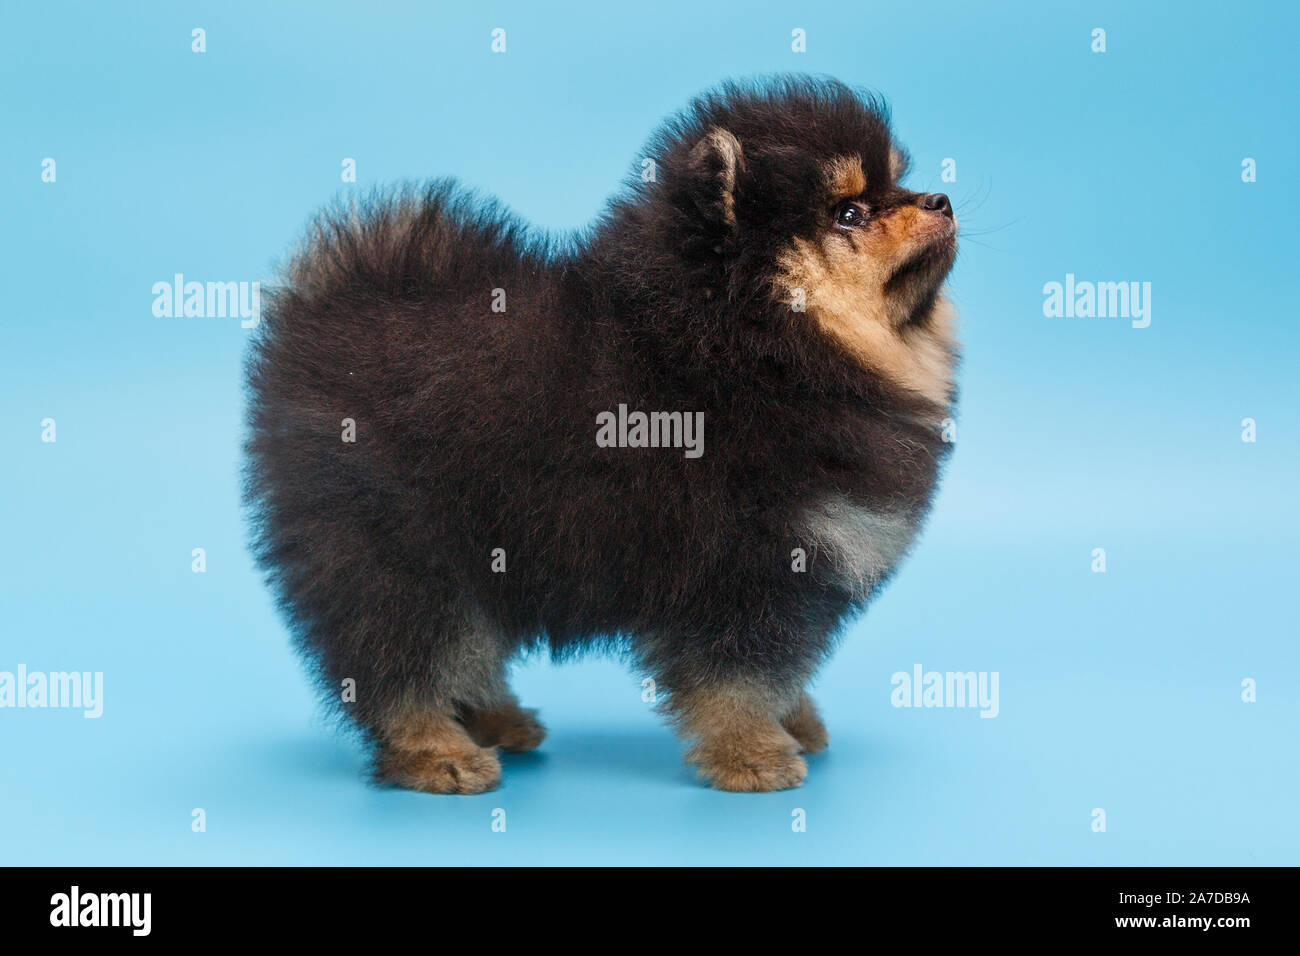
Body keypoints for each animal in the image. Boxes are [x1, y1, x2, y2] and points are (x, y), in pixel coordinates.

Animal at [244, 76, 956, 790]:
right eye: (849, 214)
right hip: (398, 544)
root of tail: (333, 303)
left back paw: (496, 720)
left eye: (898, 180)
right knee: (403, 652)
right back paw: (436, 751)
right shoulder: (743, 564)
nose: (941, 198)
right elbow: (738, 677)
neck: (754, 343)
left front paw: (794, 721)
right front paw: (752, 753)